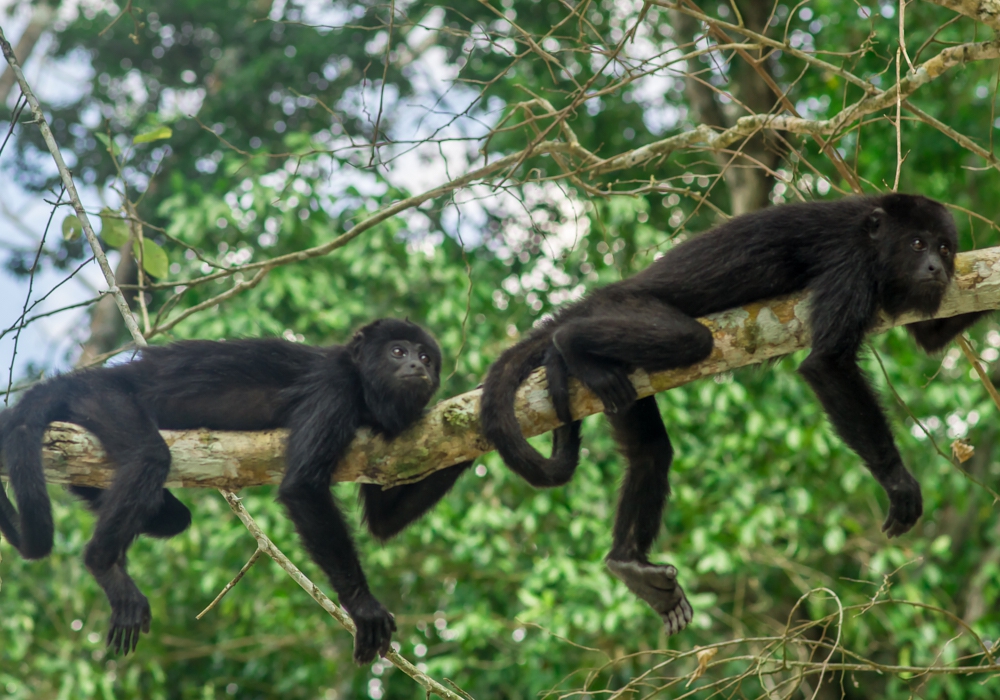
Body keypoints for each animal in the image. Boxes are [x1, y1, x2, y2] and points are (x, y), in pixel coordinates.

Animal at [0, 320, 472, 664]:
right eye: (398, 352)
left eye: (426, 356)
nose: (419, 368)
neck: (363, 385)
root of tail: (97, 375)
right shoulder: (334, 387)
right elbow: (303, 487)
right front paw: (363, 605)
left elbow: (381, 522)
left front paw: (477, 425)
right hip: (104, 401)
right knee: (149, 458)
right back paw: (104, 563)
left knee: (172, 516)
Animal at [480, 194, 988, 636]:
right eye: (918, 244)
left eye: (945, 248)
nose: (936, 268)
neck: (874, 237)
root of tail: (612, 290)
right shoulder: (851, 262)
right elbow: (827, 365)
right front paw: (898, 483)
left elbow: (928, 338)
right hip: (628, 307)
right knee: (689, 340)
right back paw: (567, 344)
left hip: (623, 388)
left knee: (650, 452)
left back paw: (627, 562)